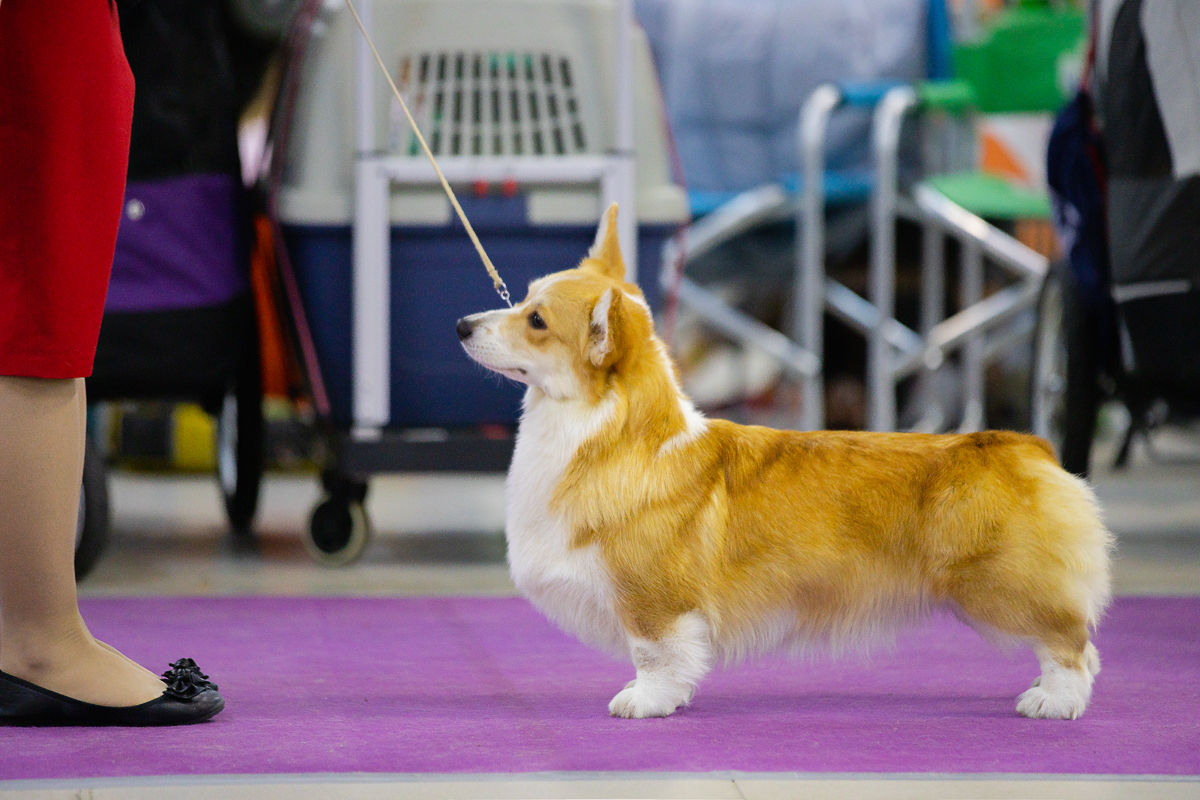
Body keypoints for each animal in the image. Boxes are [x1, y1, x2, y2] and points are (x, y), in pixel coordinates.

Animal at [456, 203, 1113, 720]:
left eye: (536, 320)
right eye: (524, 301)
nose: (462, 324)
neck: (606, 433)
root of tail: (1024, 445)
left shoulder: (653, 599)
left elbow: (655, 652)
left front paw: (646, 701)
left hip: (999, 584)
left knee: (1071, 640)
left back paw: (1055, 701)